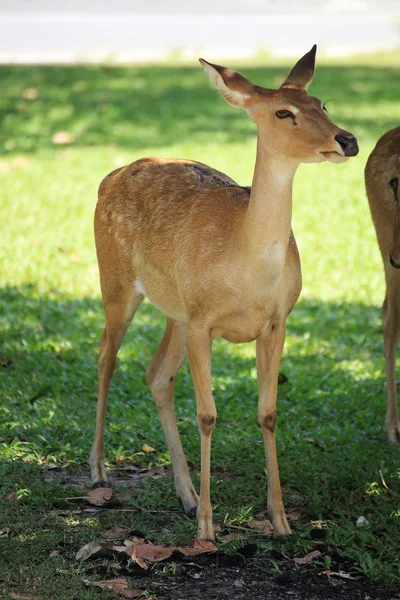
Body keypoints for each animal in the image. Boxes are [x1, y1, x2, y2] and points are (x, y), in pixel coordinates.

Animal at [90, 47, 360, 540]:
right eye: (284, 112)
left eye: (322, 103)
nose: (347, 140)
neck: (249, 269)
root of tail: (110, 176)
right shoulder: (203, 321)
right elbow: (208, 414)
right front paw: (207, 529)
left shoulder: (277, 320)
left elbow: (268, 412)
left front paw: (279, 521)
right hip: (116, 280)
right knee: (106, 357)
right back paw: (99, 472)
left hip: (175, 309)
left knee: (156, 374)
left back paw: (185, 494)